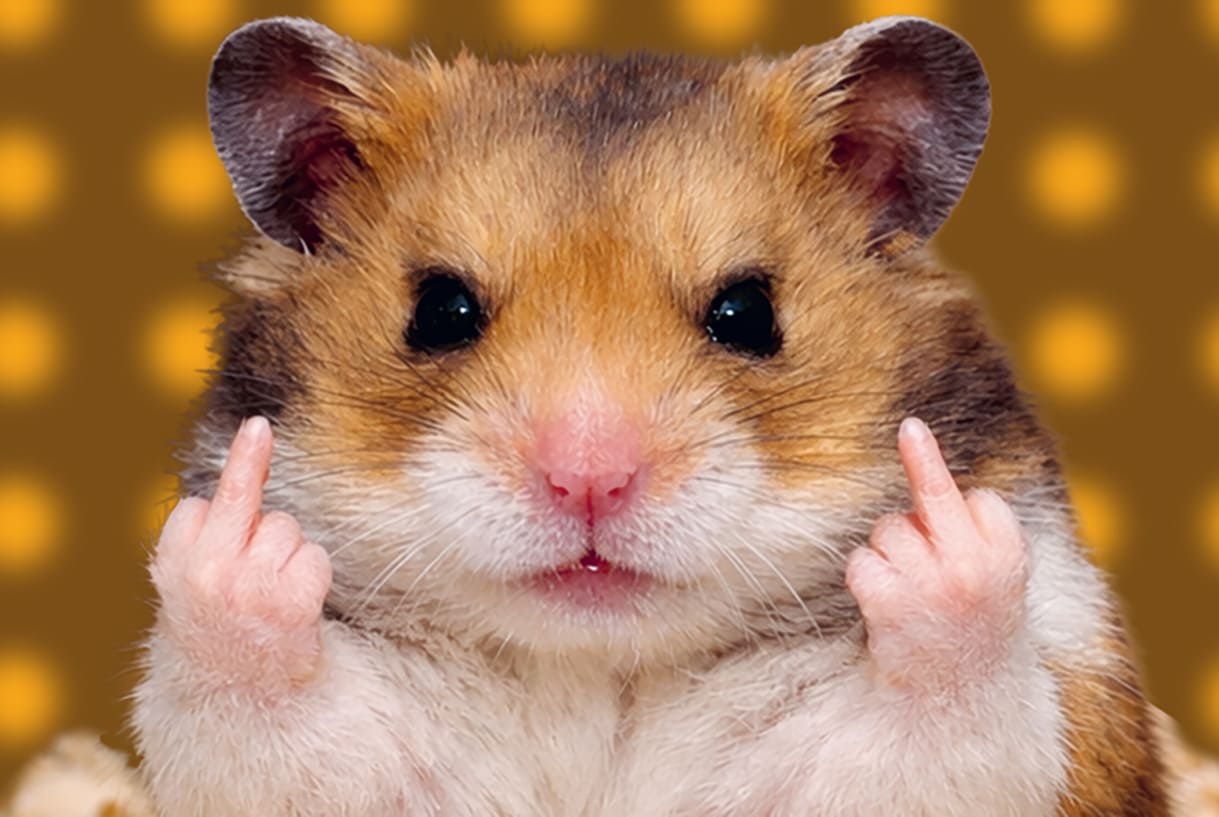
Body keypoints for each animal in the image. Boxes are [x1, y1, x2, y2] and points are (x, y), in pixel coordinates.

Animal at [130, 15, 1171, 817]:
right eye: (439, 311)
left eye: (747, 312)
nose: (588, 479)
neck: (602, 666)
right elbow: (268, 710)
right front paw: (242, 543)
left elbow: (950, 717)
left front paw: (927, 541)